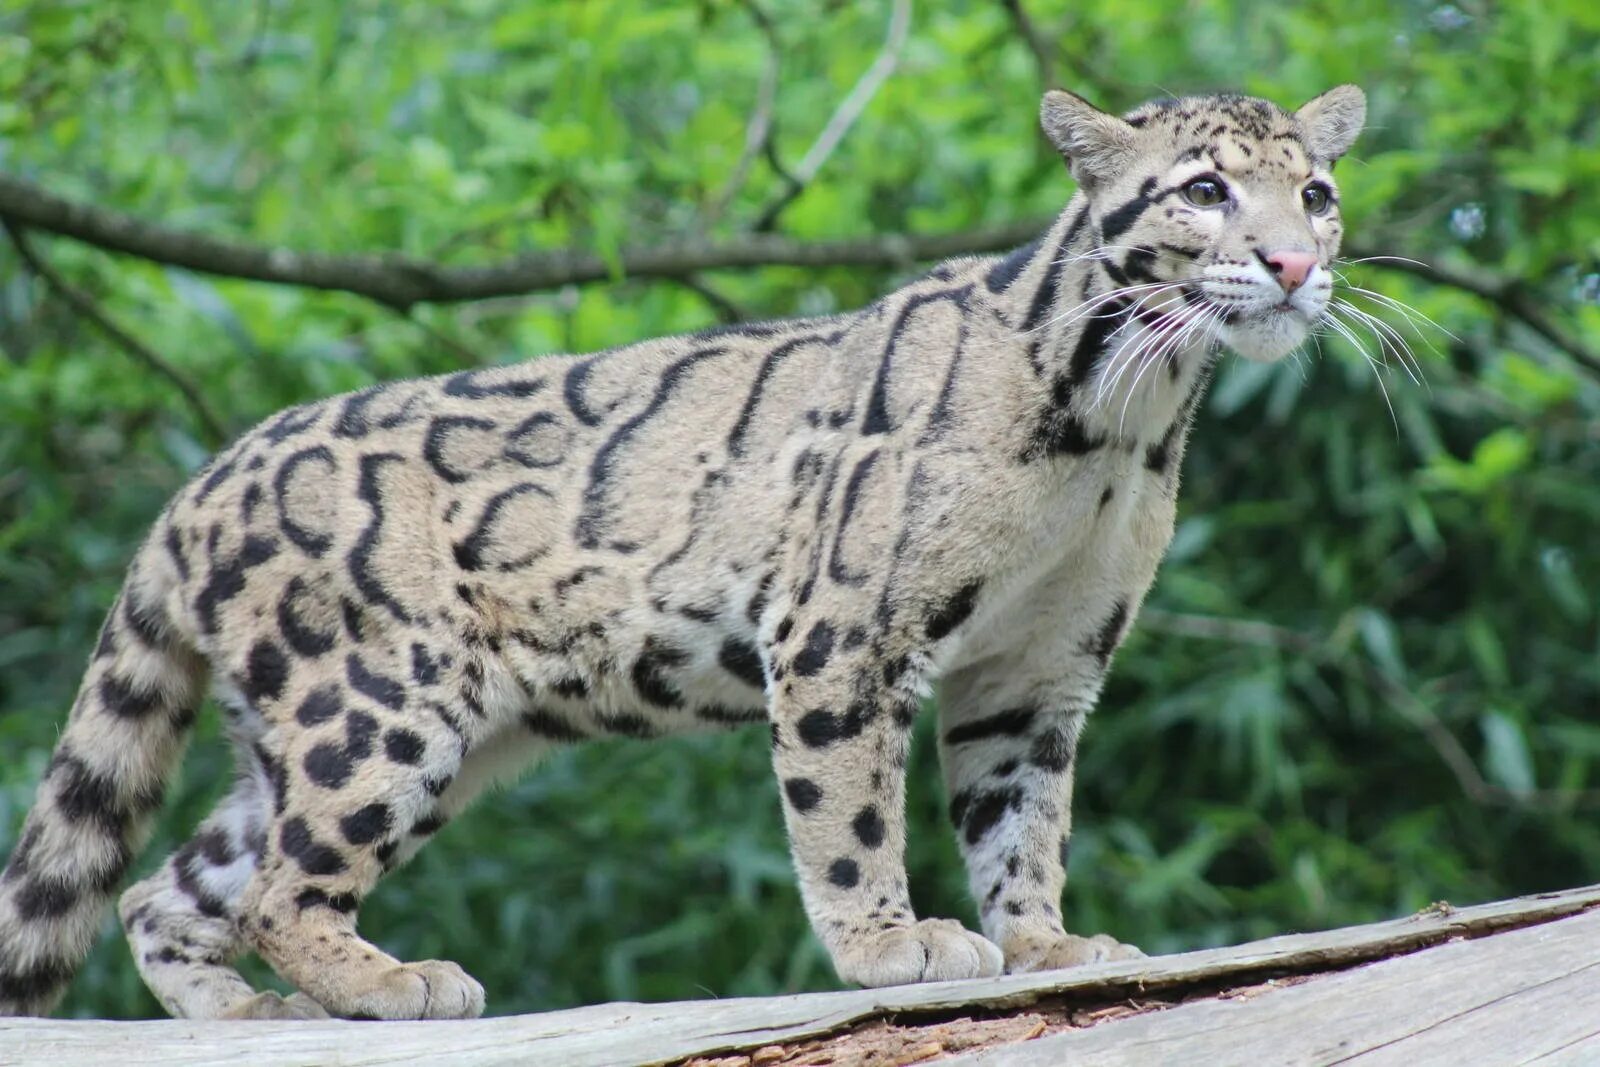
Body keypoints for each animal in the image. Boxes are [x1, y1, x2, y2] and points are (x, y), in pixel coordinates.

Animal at [3, 83, 1363, 1017]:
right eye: (1202, 189)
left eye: (1316, 192)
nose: (1297, 262)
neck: (1128, 426)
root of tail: (198, 484)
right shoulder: (844, 632)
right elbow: (849, 809)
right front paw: (892, 941)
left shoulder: (1037, 666)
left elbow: (1020, 819)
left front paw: (1046, 944)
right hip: (377, 705)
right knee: (279, 884)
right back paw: (391, 980)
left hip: (343, 740)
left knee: (173, 884)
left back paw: (246, 1010)